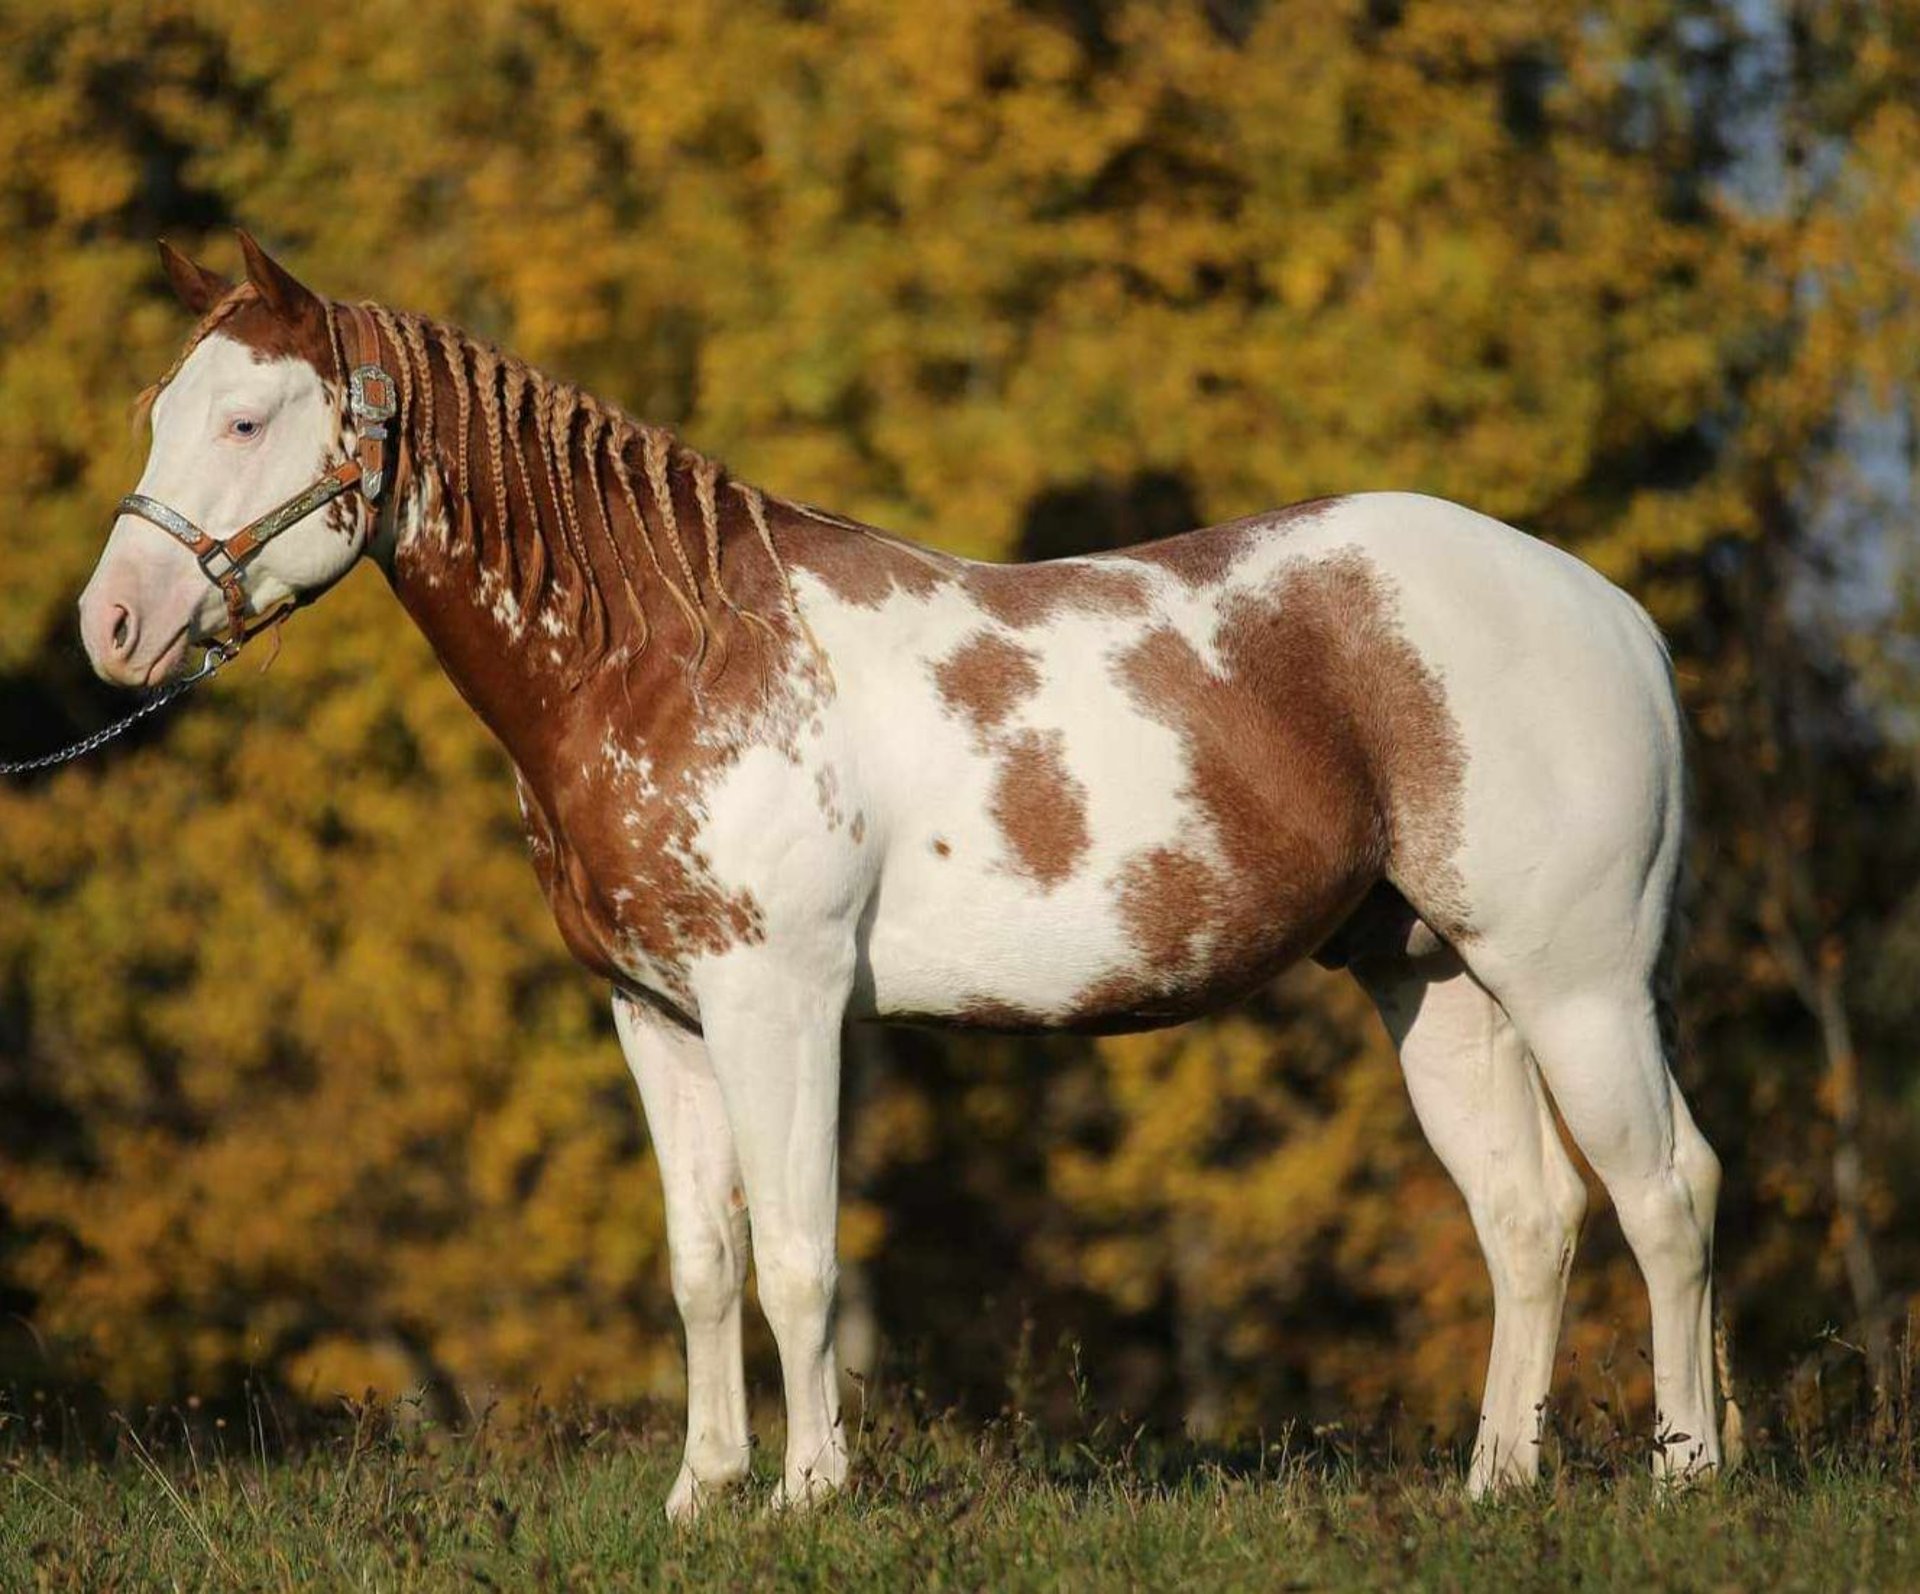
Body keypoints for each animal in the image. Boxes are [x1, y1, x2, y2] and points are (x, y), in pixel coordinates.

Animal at [74, 230, 1728, 1513]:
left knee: (1665, 1192)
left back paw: (1686, 1473)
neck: (676, 652)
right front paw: (702, 1495)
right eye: (160, 408)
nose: (113, 624)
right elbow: (703, 1257)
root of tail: (1611, 614)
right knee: (1528, 1217)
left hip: (1578, 982)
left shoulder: (781, 1002)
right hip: (1437, 979)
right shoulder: (656, 1015)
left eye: (244, 421)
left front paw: (808, 1494)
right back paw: (1496, 1483)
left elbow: (800, 1257)